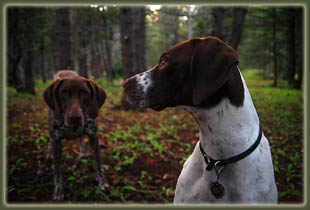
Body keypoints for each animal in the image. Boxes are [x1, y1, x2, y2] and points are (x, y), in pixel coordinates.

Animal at [43, 70, 109, 200]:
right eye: (64, 93)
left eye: (85, 93)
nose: (75, 118)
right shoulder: (56, 140)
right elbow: (57, 171)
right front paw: (58, 190)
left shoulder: (93, 136)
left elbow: (98, 165)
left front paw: (102, 183)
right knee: (51, 143)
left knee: (80, 139)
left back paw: (82, 153)